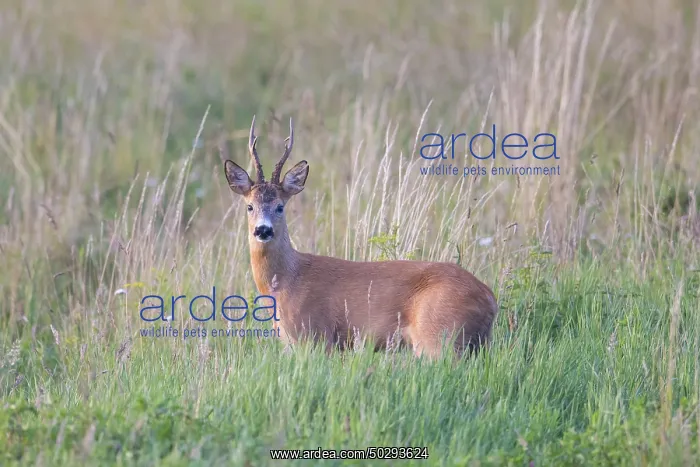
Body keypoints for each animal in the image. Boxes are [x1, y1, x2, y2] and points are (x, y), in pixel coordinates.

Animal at [222, 116, 498, 359]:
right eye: (249, 206)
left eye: (280, 206)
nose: (263, 230)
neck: (286, 282)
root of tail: (490, 298)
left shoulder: (314, 335)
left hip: (439, 335)